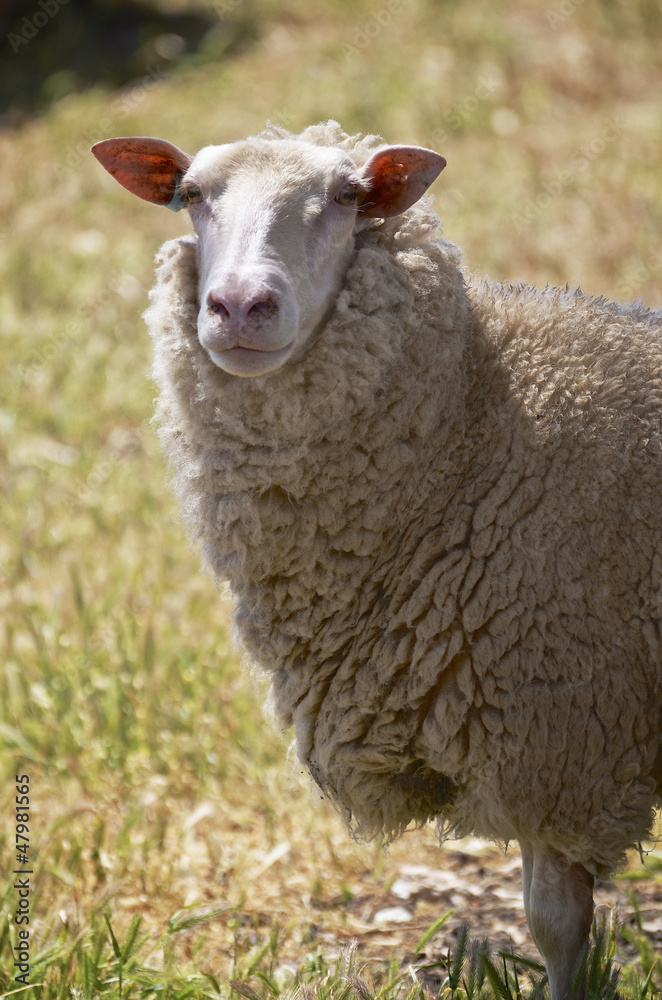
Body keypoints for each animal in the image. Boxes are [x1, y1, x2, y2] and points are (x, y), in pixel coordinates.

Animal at [92, 121, 662, 996]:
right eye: (189, 195)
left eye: (347, 196)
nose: (240, 306)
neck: (477, 427)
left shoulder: (561, 740)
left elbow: (555, 927)